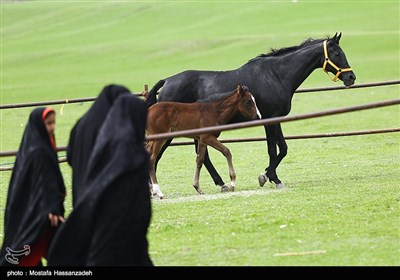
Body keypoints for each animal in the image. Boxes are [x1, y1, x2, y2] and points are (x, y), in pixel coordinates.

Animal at [145, 32, 356, 190]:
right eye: (337, 54)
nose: (351, 77)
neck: (276, 75)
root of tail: (167, 81)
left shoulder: (276, 119)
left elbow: (283, 149)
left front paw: (268, 175)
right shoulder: (269, 120)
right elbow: (273, 150)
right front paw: (270, 178)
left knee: (201, 156)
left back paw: (221, 183)